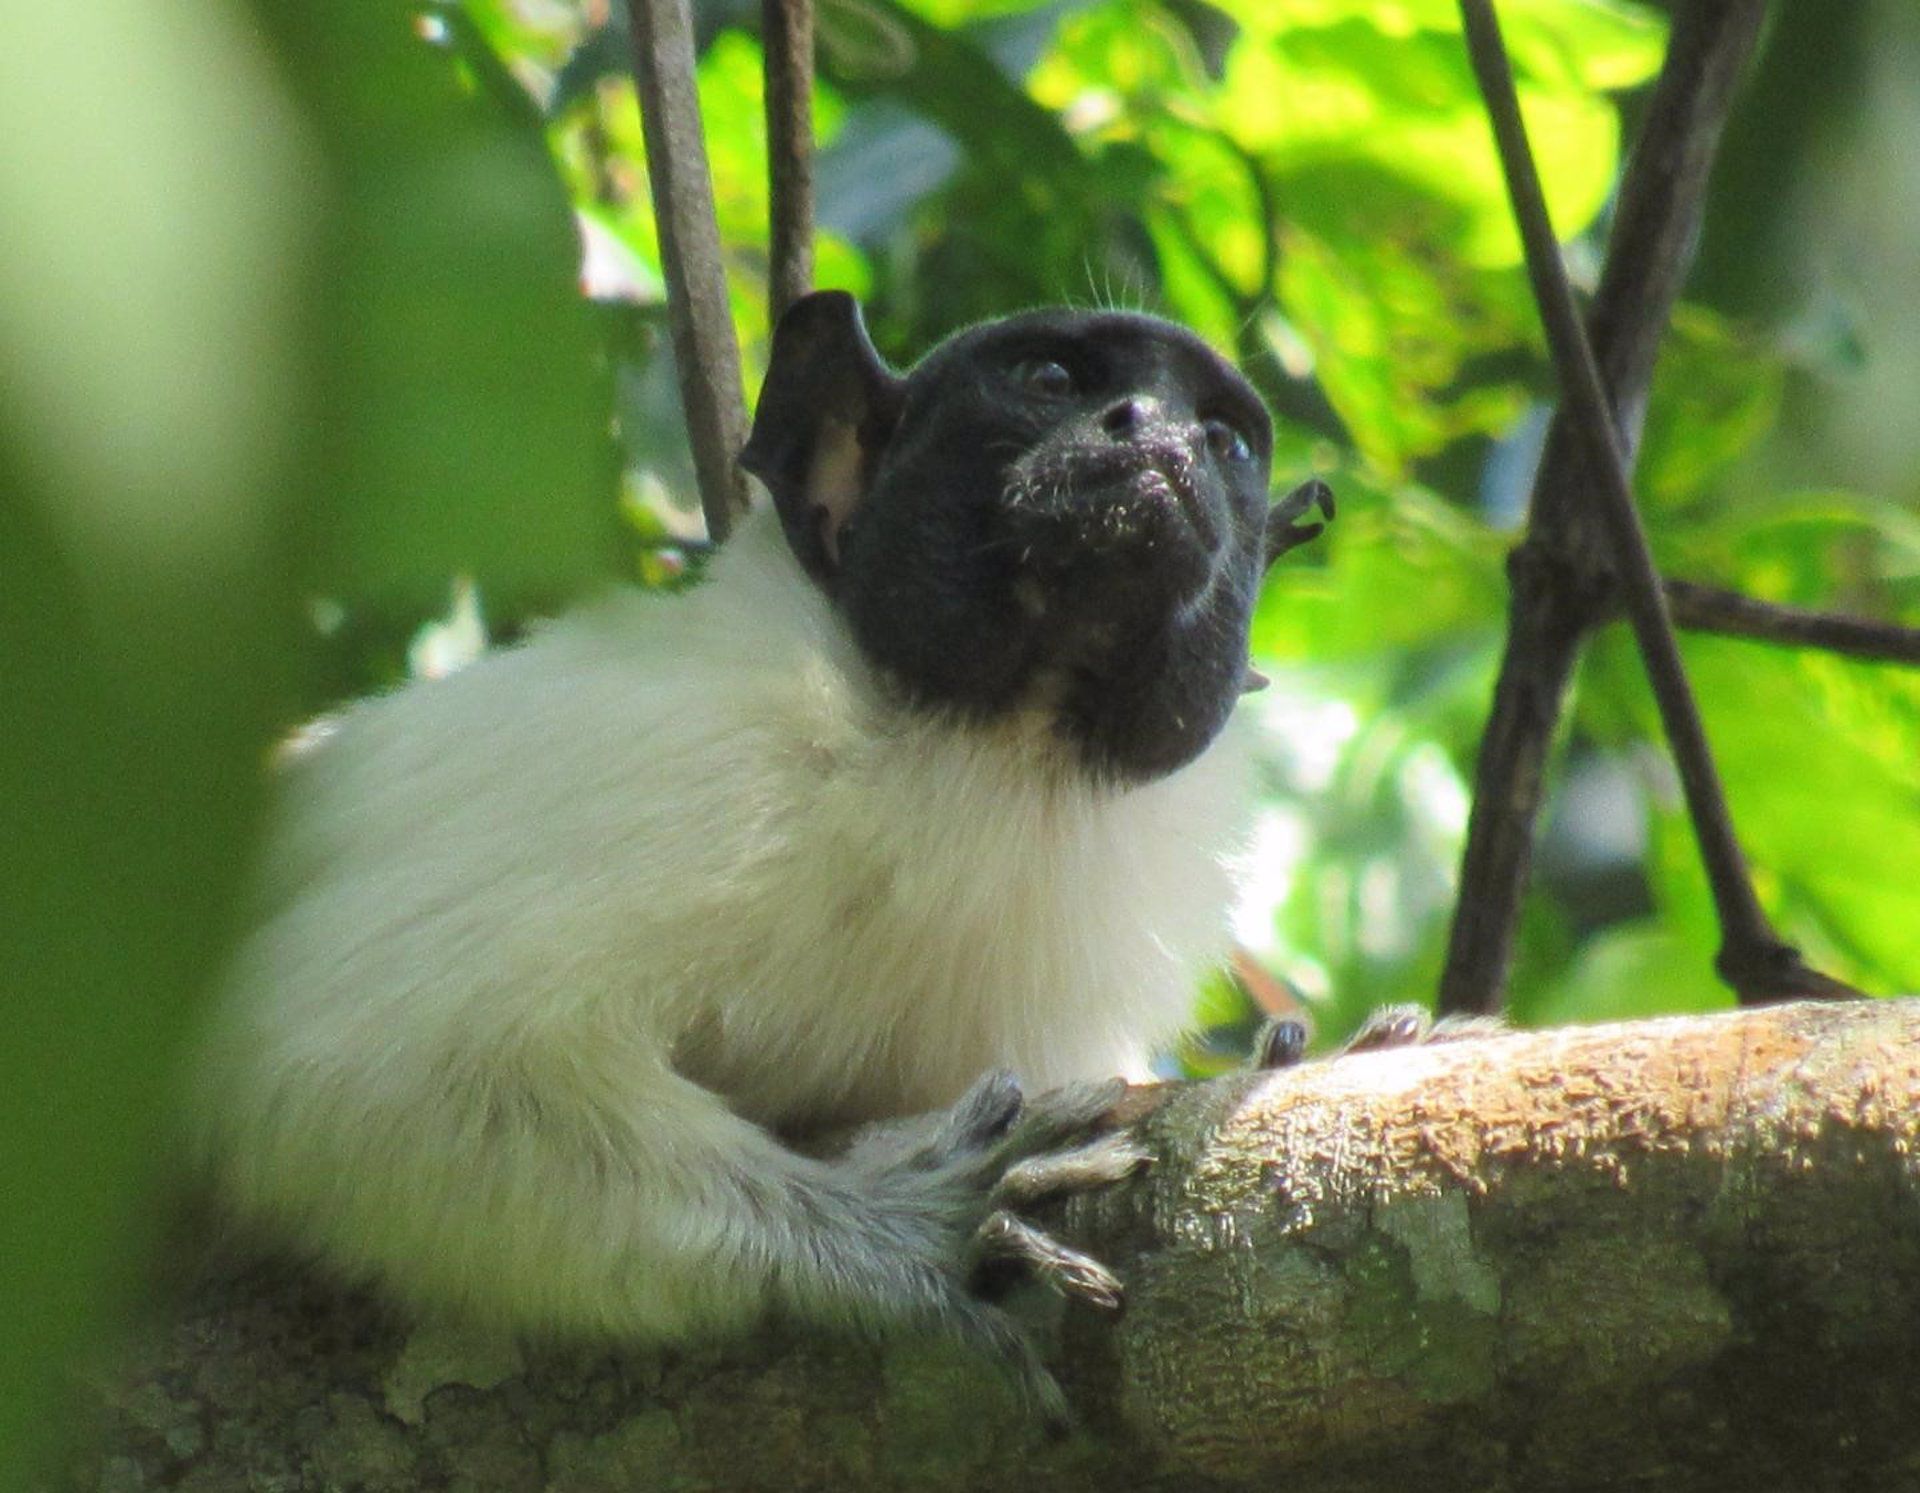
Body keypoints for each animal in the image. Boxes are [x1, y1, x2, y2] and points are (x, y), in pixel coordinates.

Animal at [191, 291, 1336, 1420]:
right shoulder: (688, 767)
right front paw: (906, 1231)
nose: (1155, 436)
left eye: (1224, 440)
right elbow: (355, 1061)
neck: (986, 763)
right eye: (1051, 379)